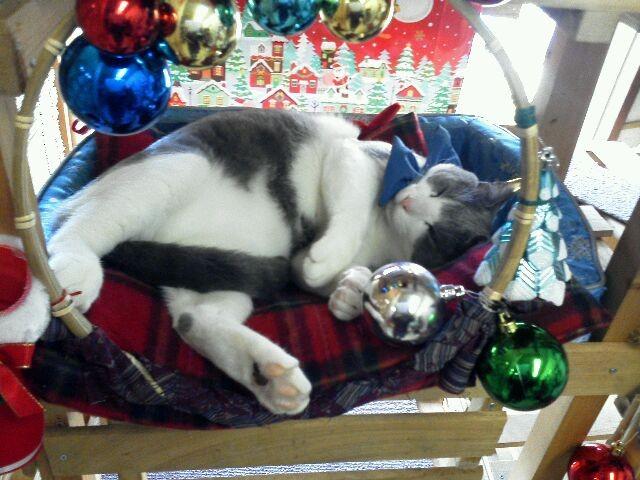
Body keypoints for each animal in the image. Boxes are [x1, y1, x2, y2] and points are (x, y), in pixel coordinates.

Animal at [48, 108, 513, 415]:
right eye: (438, 187)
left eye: (435, 234)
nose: (408, 199)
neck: (385, 231)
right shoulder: (352, 156)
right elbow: (351, 207)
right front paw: (328, 258)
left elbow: (351, 274)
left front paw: (348, 292)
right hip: (175, 170)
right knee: (73, 228)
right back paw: (75, 268)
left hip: (218, 272)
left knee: (193, 319)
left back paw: (270, 376)